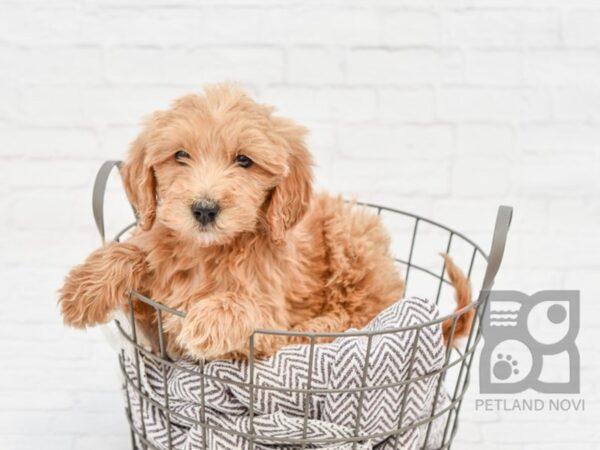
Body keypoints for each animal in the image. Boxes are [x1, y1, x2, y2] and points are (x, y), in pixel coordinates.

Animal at [61, 83, 474, 358]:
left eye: (244, 160)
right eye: (180, 155)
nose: (204, 209)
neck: (208, 252)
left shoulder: (271, 308)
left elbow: (247, 309)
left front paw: (207, 320)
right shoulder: (149, 299)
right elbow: (134, 251)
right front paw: (82, 290)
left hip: (352, 238)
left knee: (353, 315)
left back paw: (312, 329)